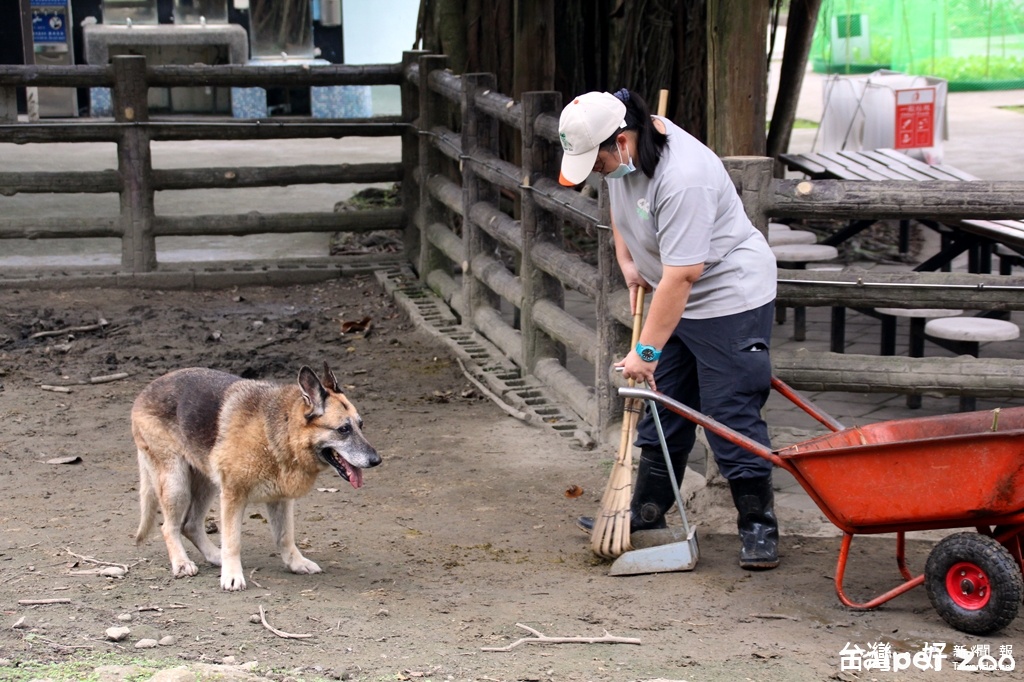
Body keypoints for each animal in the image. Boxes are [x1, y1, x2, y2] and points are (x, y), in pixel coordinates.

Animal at [131, 360, 380, 589]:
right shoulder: (233, 496)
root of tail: (143, 393)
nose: (377, 460)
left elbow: (285, 537)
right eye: (343, 430)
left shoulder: (281, 499)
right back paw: (182, 563)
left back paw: (214, 556)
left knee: (190, 525)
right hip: (177, 484)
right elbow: (233, 541)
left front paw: (296, 563)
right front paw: (232, 576)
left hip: (206, 484)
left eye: (361, 425)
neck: (277, 433)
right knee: (169, 527)